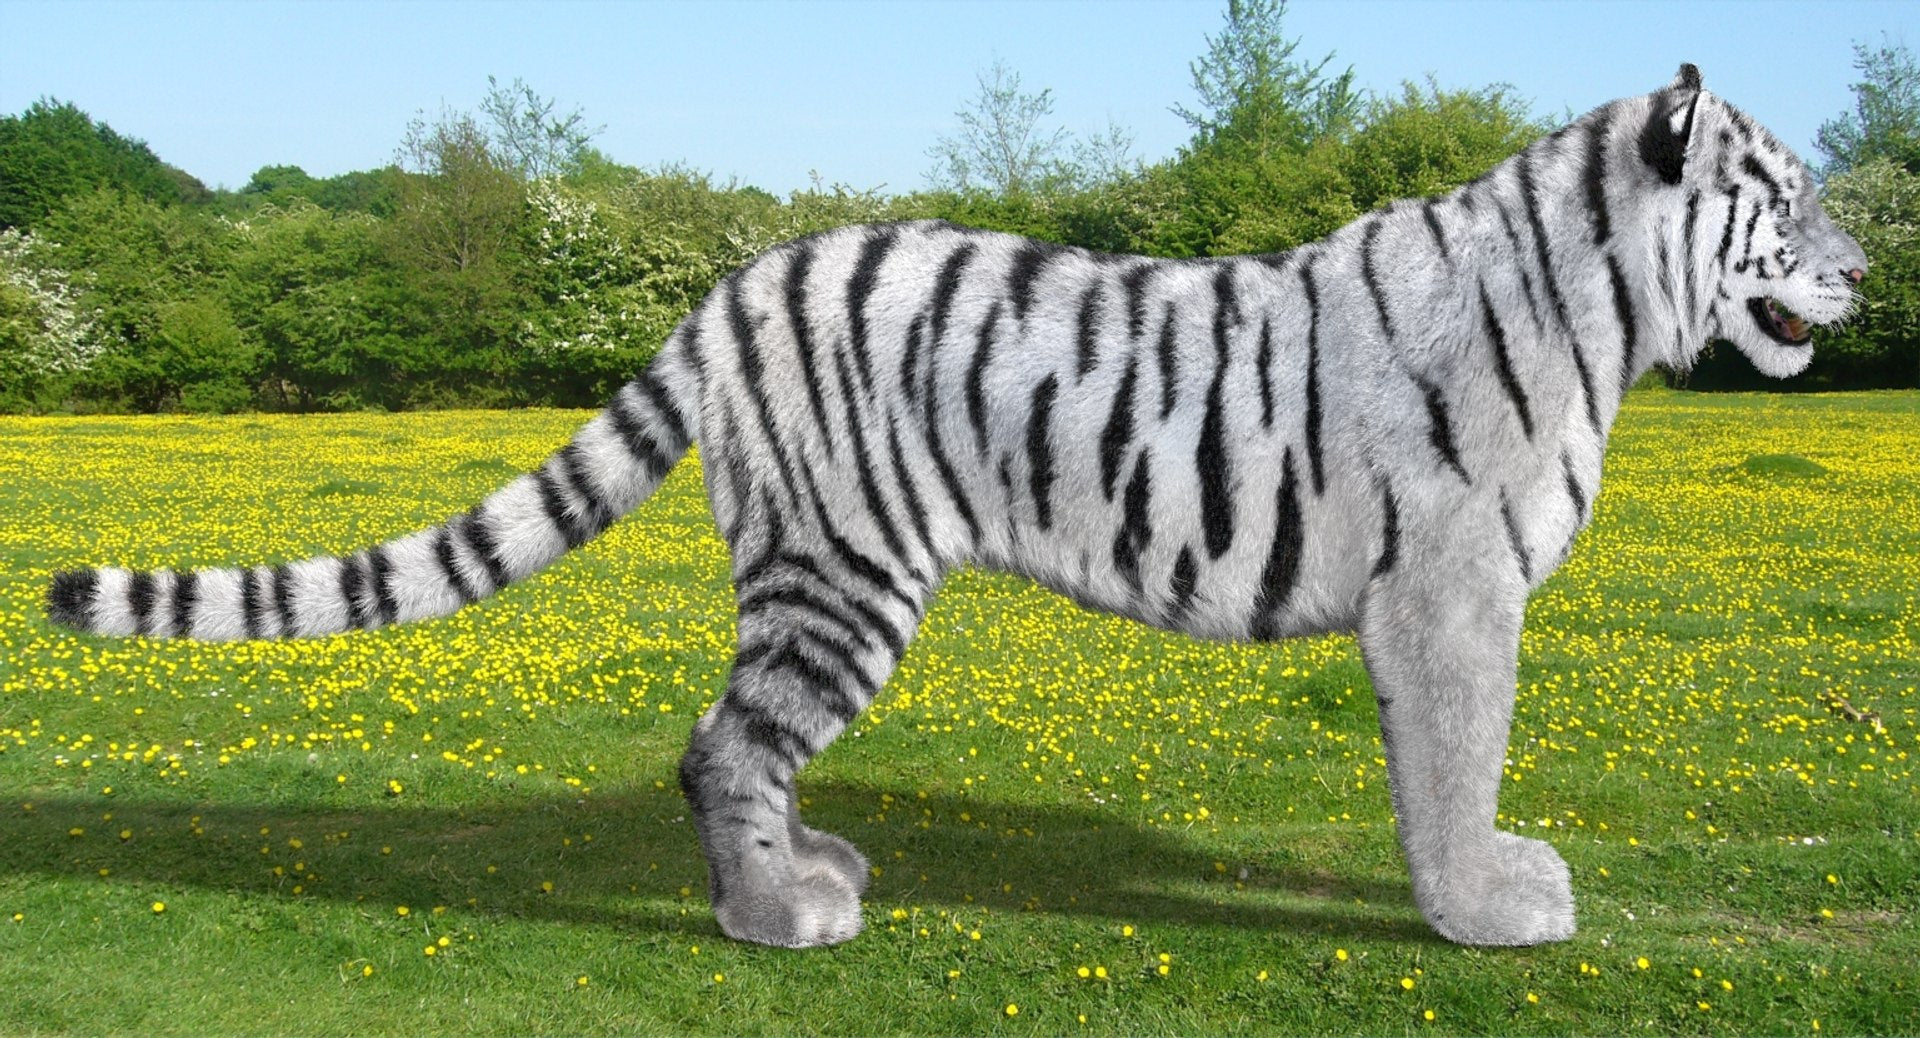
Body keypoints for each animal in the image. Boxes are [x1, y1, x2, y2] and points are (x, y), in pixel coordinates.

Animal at [46, 65, 1866, 949]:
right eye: (1778, 195)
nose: (1861, 268)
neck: (1610, 314)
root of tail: (731, 281)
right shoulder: (1450, 587)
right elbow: (1456, 759)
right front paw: (1487, 907)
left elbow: (1445, 762)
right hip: (843, 570)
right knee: (723, 739)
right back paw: (777, 916)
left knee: (728, 741)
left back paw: (798, 868)